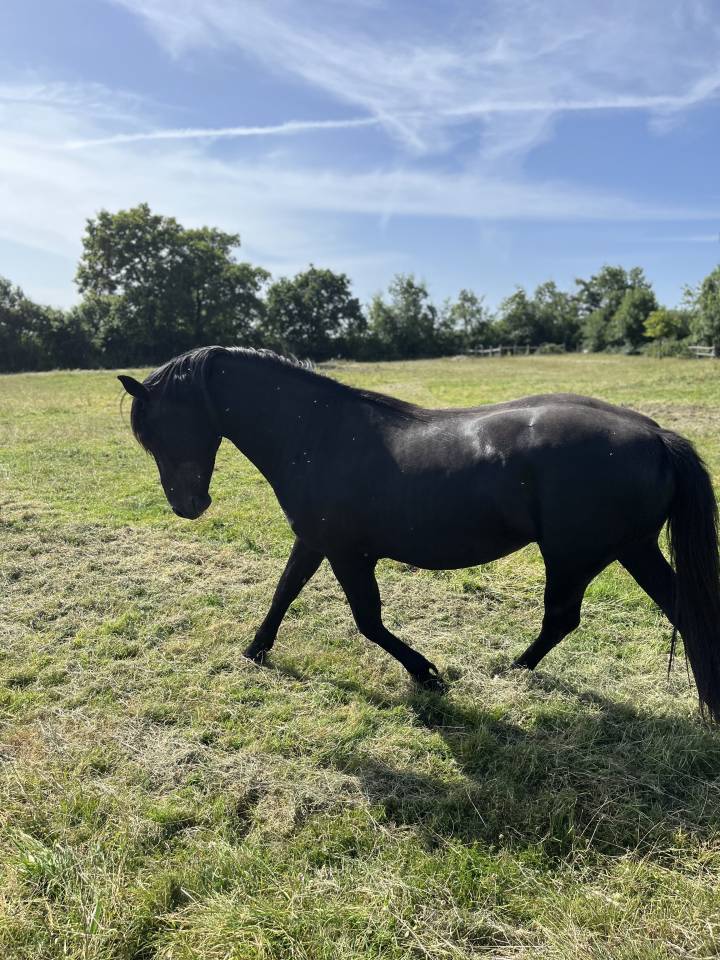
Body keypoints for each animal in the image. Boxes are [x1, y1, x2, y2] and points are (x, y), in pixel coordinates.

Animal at [119, 346, 720, 720]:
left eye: (161, 429)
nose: (187, 506)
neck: (317, 435)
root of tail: (656, 435)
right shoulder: (314, 542)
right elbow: (284, 592)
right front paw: (255, 651)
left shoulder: (348, 553)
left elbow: (367, 621)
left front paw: (427, 674)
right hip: (631, 550)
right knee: (681, 610)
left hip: (575, 556)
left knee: (563, 619)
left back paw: (512, 670)